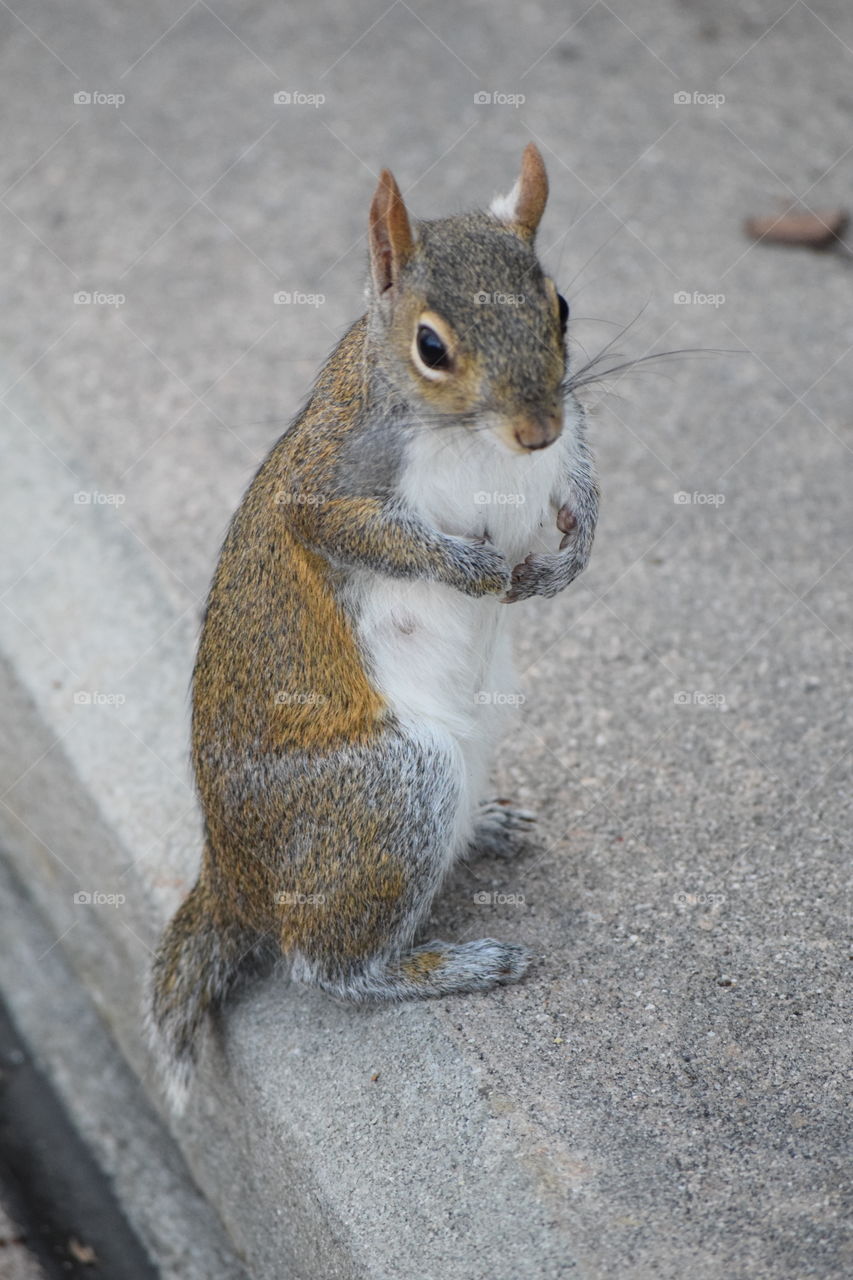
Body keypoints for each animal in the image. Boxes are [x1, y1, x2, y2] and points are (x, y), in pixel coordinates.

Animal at [147, 143, 599, 1108]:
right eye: (431, 346)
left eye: (560, 306)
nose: (535, 429)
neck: (475, 440)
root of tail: (236, 882)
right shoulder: (326, 479)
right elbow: (354, 529)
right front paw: (467, 568)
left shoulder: (572, 429)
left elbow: (580, 483)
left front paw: (570, 554)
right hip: (390, 791)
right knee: (331, 968)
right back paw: (446, 967)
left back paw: (485, 830)